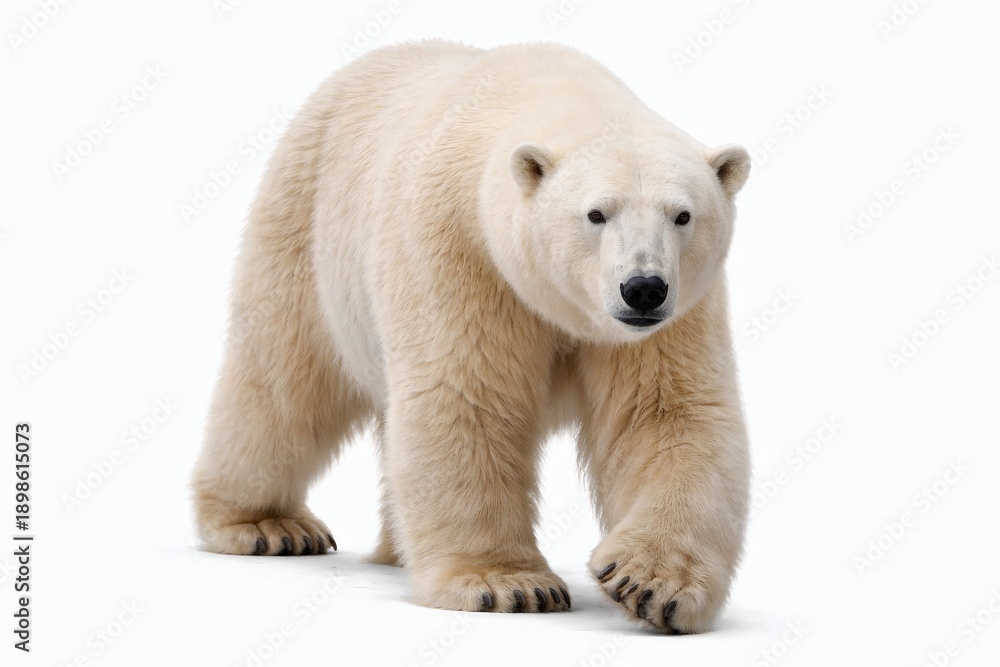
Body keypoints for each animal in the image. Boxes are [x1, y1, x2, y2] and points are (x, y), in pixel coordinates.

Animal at [192, 39, 751, 634]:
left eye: (683, 215)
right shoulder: (458, 248)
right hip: (305, 228)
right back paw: (266, 525)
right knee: (282, 380)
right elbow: (466, 396)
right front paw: (508, 585)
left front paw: (650, 583)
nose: (643, 288)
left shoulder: (677, 313)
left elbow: (668, 413)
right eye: (596, 213)